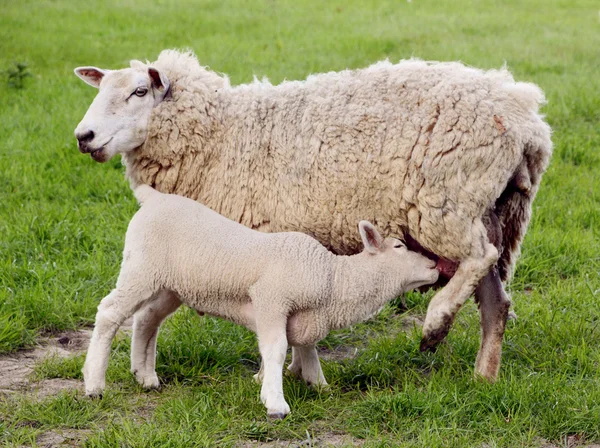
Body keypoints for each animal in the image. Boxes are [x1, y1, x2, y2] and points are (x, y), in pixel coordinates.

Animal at [72, 50, 552, 382]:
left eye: (139, 92)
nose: (83, 136)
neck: (222, 134)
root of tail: (526, 120)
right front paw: (295, 370)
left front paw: (276, 373)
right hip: (491, 211)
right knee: (496, 301)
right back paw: (484, 376)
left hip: (446, 203)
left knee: (479, 257)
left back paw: (436, 323)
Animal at [84, 184, 438, 418]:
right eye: (398, 247)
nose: (435, 265)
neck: (332, 278)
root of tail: (154, 198)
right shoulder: (271, 299)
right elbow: (276, 349)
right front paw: (275, 402)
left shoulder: (303, 316)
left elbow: (307, 349)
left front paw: (318, 385)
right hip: (140, 269)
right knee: (110, 313)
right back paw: (94, 385)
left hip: (170, 285)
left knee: (147, 318)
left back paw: (145, 377)